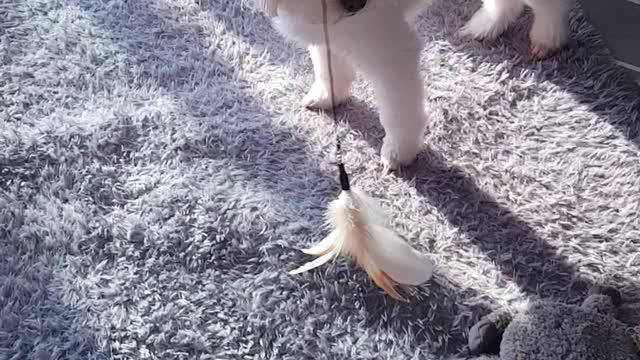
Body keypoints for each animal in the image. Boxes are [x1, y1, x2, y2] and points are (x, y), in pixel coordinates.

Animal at [258, 0, 572, 170]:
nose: (355, 5)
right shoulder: (330, 31)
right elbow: (327, 63)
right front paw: (327, 96)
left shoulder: (391, 49)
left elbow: (398, 111)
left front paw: (398, 153)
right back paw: (486, 26)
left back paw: (546, 39)